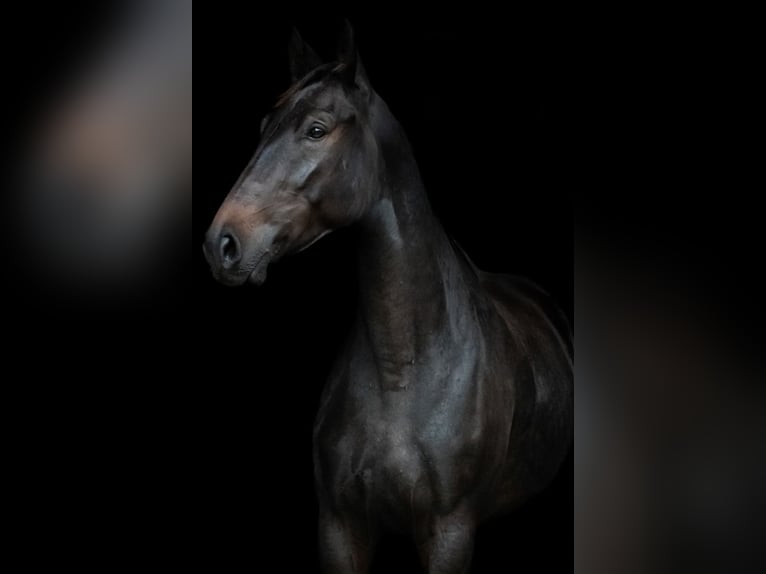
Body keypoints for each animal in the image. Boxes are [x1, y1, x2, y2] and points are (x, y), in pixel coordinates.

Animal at [203, 23, 572, 574]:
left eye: (317, 129)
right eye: (265, 124)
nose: (222, 243)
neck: (402, 371)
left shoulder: (450, 532)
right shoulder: (340, 527)